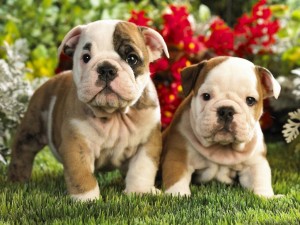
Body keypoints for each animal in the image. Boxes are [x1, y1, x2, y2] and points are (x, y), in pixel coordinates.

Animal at [8, 20, 170, 201]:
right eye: (86, 58)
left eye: (132, 58)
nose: (106, 68)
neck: (114, 114)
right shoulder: (76, 145)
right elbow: (82, 174)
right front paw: (87, 199)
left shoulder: (147, 143)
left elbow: (141, 169)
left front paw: (140, 191)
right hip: (31, 130)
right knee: (22, 153)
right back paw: (17, 181)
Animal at [162, 56, 282, 197]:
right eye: (206, 96)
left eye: (250, 100)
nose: (226, 110)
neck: (222, 148)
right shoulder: (179, 156)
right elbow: (176, 177)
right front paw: (177, 194)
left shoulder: (255, 162)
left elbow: (260, 178)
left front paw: (267, 196)